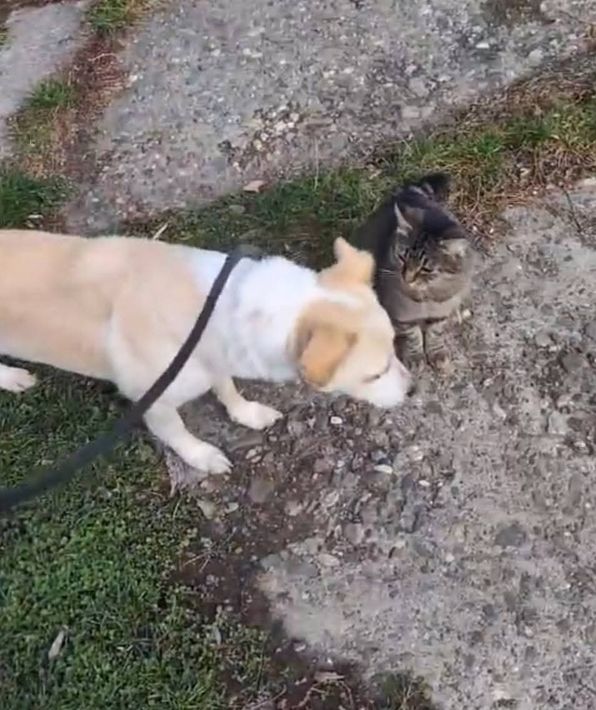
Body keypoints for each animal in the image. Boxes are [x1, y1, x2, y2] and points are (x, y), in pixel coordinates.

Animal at [0, 230, 412, 479]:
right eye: (375, 374)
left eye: (396, 347)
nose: (413, 390)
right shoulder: (154, 403)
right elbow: (180, 434)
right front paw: (202, 457)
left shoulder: (214, 357)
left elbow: (228, 389)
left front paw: (247, 413)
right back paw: (11, 377)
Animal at [354, 173, 474, 371]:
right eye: (402, 258)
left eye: (426, 268)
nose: (407, 278)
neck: (426, 299)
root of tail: (407, 194)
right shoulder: (402, 314)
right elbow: (413, 335)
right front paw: (415, 356)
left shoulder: (440, 312)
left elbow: (435, 332)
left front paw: (436, 351)